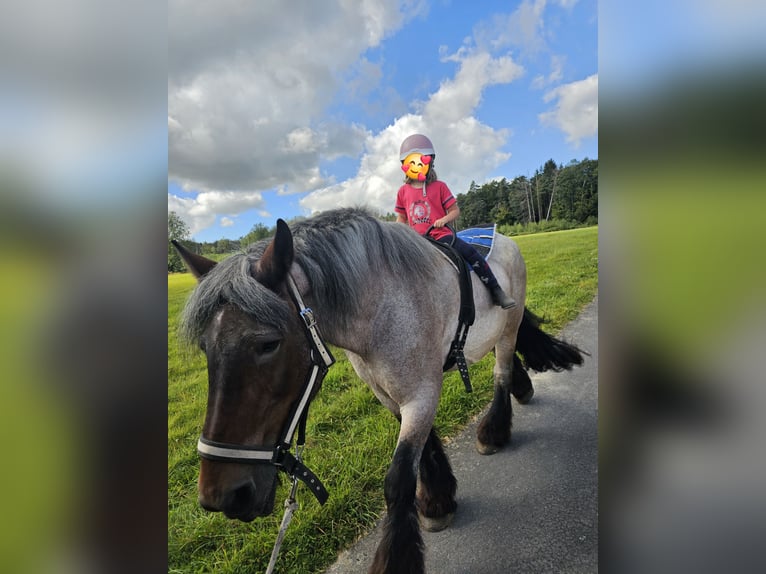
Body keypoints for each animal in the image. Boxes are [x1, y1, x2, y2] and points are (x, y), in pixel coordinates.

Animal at [172, 208, 584, 574]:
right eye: (206, 348)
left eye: (268, 344)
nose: (222, 496)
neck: (381, 308)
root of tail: (506, 241)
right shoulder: (391, 395)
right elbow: (425, 448)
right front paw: (438, 499)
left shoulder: (422, 394)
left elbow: (398, 480)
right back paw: (521, 390)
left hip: (509, 324)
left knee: (500, 371)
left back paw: (494, 430)